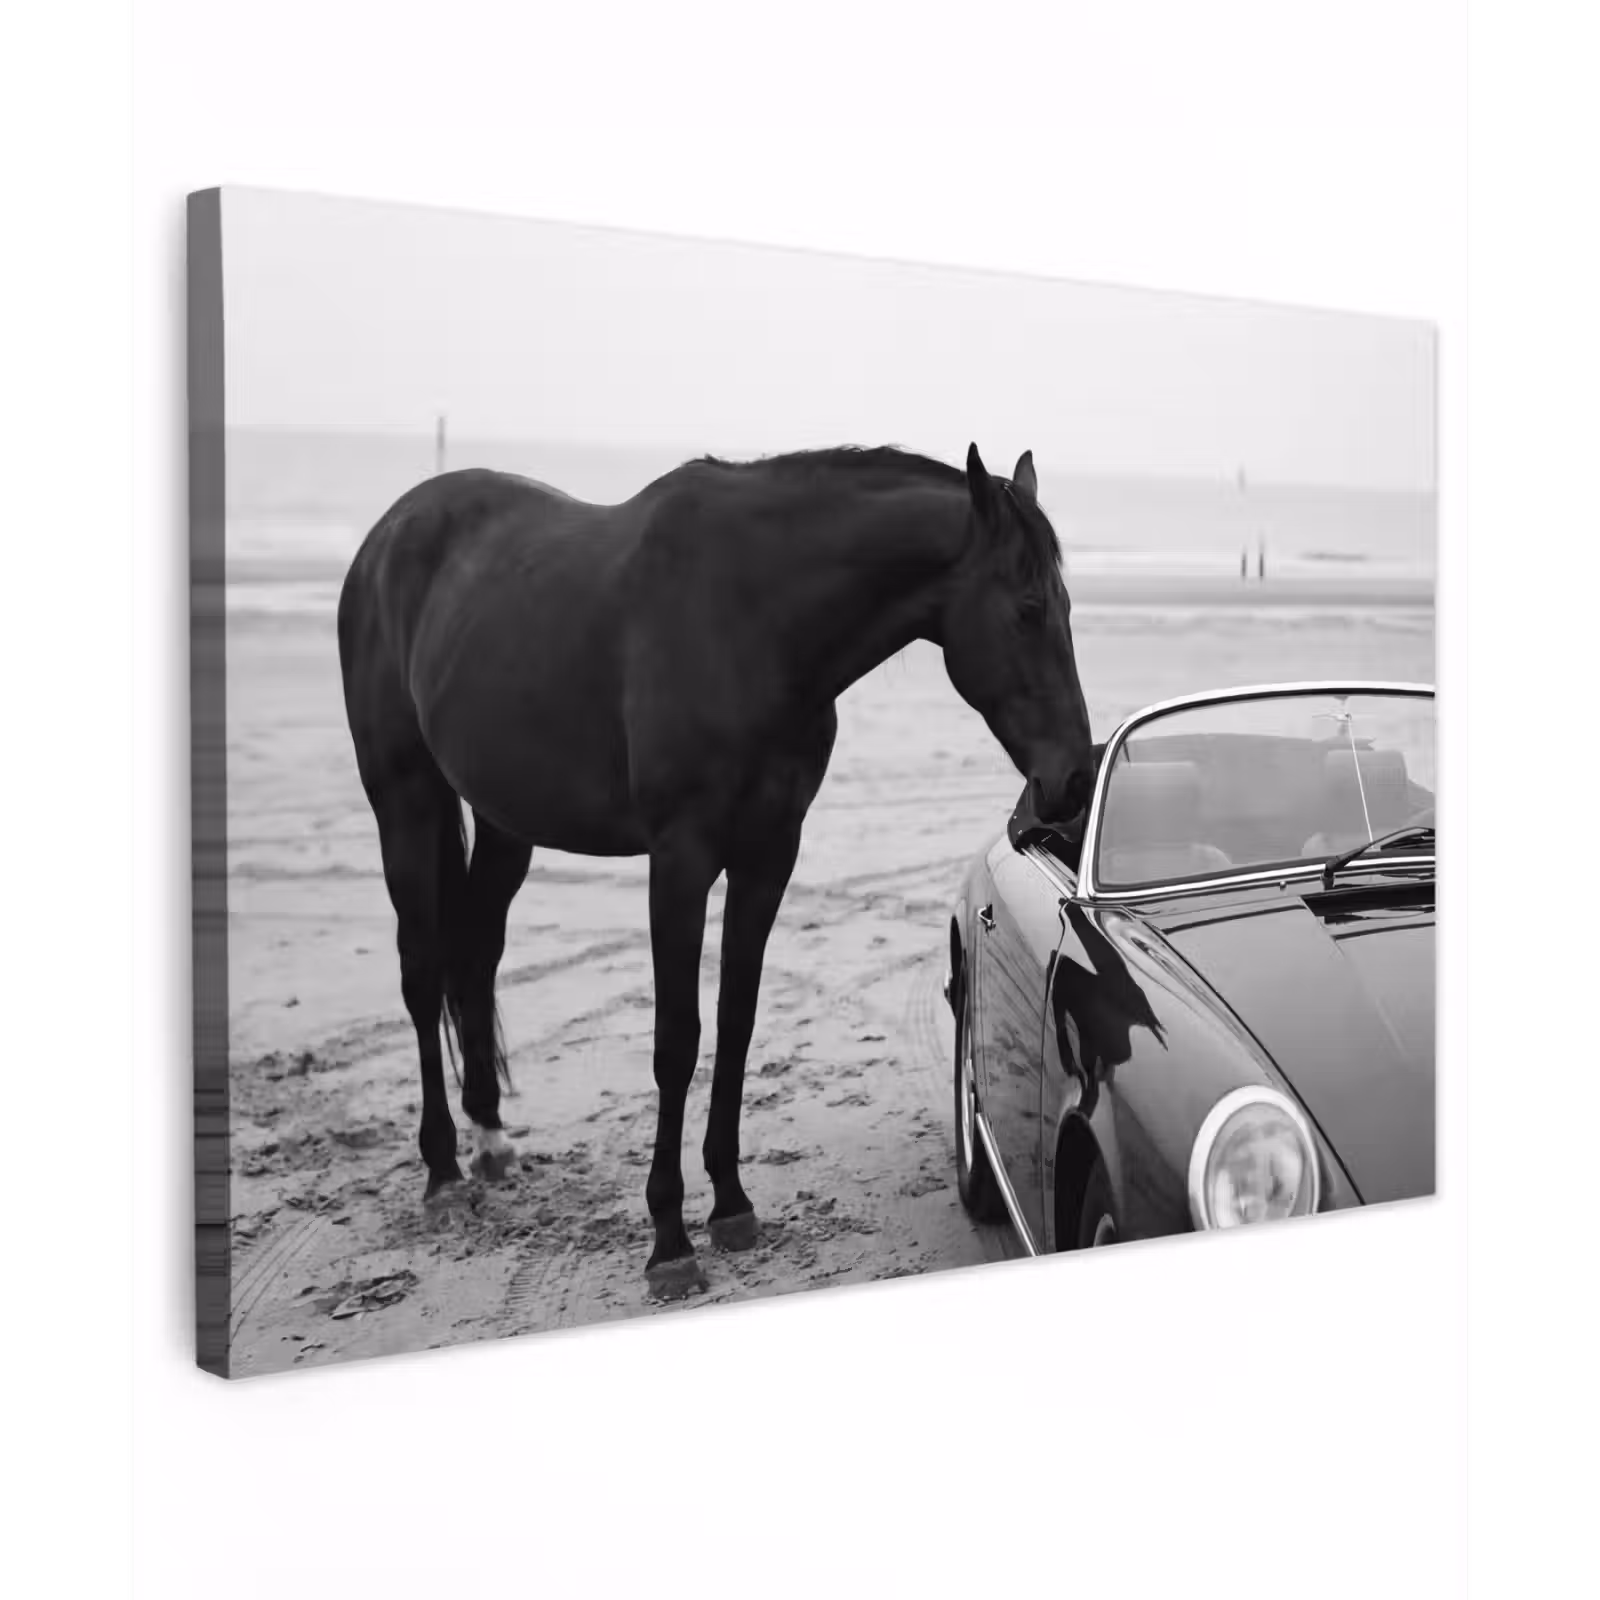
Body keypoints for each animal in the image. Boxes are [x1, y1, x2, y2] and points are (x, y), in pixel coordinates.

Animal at [336, 442, 1095, 1296]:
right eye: (1027, 609)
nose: (1073, 778)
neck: (751, 621)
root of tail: (390, 533)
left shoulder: (768, 854)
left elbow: (735, 1021)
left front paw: (730, 1204)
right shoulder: (681, 858)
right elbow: (678, 1039)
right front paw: (669, 1239)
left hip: (504, 821)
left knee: (475, 956)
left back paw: (490, 1138)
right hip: (405, 802)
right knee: (420, 969)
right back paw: (440, 1173)